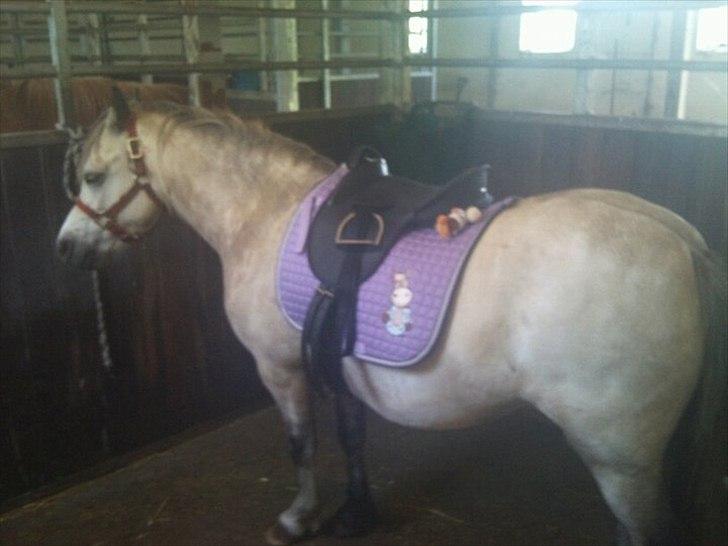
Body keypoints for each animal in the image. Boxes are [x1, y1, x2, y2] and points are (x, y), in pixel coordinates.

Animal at [55, 90, 726, 546]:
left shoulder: (279, 369)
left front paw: (298, 518)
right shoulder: (341, 361)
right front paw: (356, 512)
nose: (66, 248)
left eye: (93, 175)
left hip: (620, 460)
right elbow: (353, 439)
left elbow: (300, 444)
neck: (268, 215)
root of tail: (684, 243)